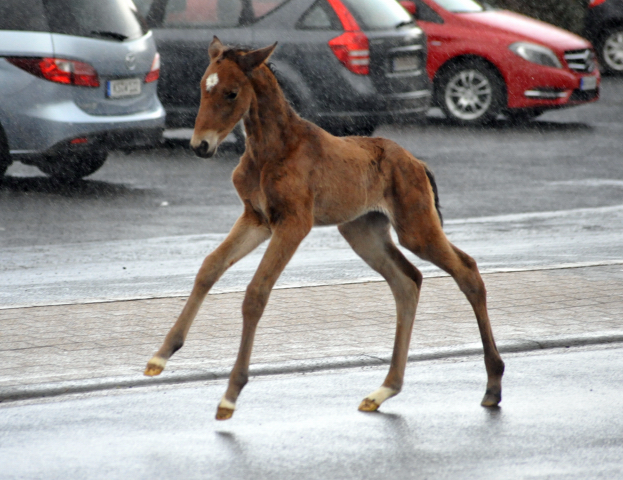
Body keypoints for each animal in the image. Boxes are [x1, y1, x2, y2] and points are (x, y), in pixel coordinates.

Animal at [144, 38, 504, 420]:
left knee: (467, 270)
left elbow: (256, 293)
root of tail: (417, 163)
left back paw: (492, 386)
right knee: (407, 282)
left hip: (415, 228)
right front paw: (160, 356)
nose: (201, 145)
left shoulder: (294, 223)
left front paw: (230, 396)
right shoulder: (257, 218)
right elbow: (209, 267)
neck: (270, 151)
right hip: (362, 231)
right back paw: (383, 391)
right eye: (203, 87)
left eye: (231, 92)